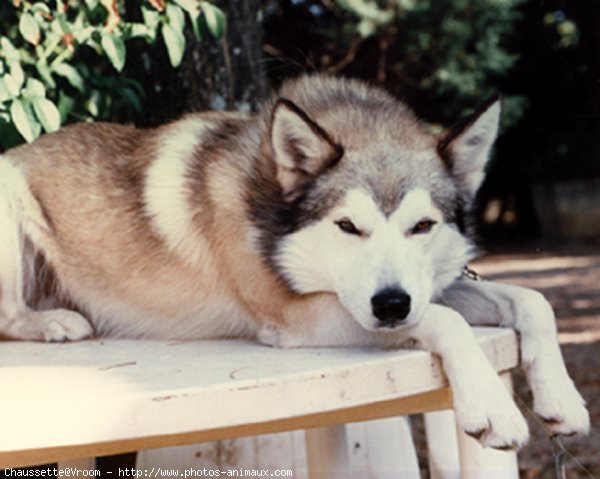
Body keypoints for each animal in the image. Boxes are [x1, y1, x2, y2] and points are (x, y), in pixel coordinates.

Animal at [0, 74, 592, 450]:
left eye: (422, 227)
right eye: (348, 226)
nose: (391, 305)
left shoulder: (422, 290)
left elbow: (533, 301)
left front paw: (562, 398)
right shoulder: (294, 319)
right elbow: (446, 321)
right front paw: (491, 406)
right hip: (8, 204)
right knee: (9, 318)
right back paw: (54, 322)